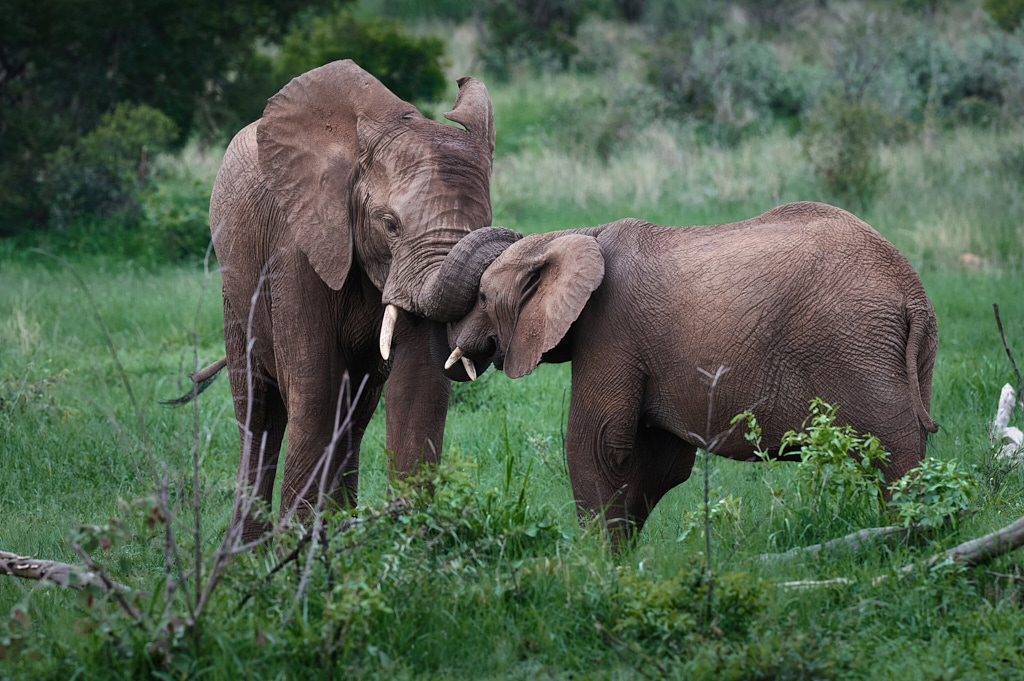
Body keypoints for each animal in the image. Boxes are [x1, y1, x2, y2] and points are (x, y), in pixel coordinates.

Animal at [178, 62, 520, 540]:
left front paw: (410, 541)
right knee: (259, 411)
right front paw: (297, 547)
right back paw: (249, 548)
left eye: (483, 222)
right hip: (235, 291)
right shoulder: (297, 249)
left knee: (356, 413)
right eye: (390, 225)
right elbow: (316, 387)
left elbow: (418, 385)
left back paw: (340, 528)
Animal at [444, 202, 937, 548]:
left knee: (892, 451)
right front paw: (622, 558)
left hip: (857, 345)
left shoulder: (609, 331)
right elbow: (659, 464)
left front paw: (596, 565)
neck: (580, 235)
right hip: (912, 356)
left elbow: (598, 445)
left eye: (484, 298)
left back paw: (905, 543)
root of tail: (910, 290)